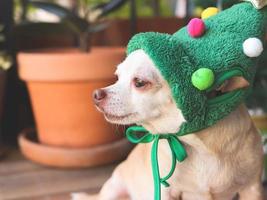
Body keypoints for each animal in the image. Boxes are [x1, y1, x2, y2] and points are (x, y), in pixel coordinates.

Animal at [71, 48, 266, 200]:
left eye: (139, 82)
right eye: (117, 77)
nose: (96, 94)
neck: (199, 145)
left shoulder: (252, 188)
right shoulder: (165, 192)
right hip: (113, 188)